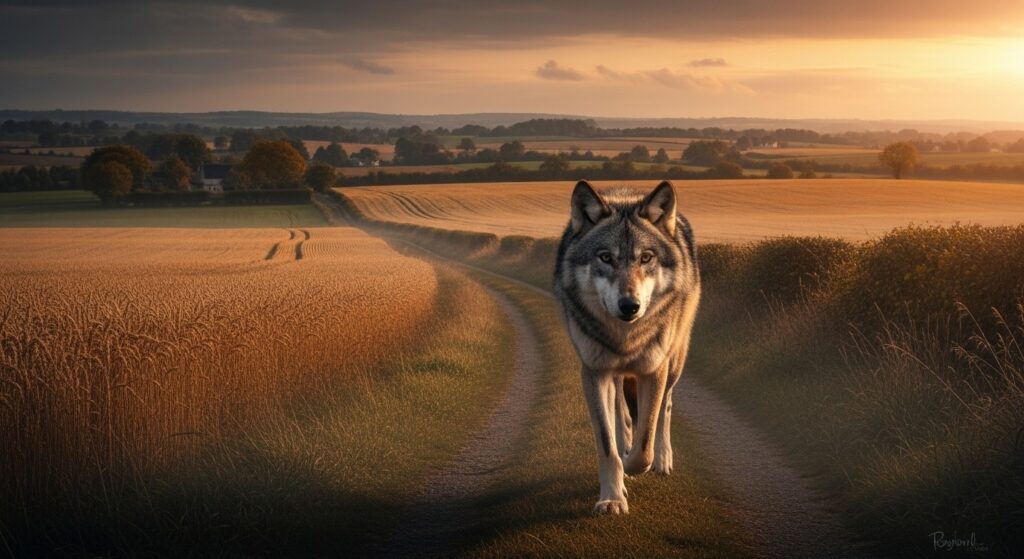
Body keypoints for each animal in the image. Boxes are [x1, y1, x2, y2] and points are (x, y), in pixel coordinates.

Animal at [553, 179, 700, 515]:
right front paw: (612, 497)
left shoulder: (653, 371)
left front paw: (637, 466)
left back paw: (663, 460)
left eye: (646, 258)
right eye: (605, 257)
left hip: (674, 364)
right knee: (622, 416)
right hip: (617, 377)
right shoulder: (594, 373)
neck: (626, 337)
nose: (629, 306)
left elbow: (644, 442)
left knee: (665, 409)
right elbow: (608, 444)